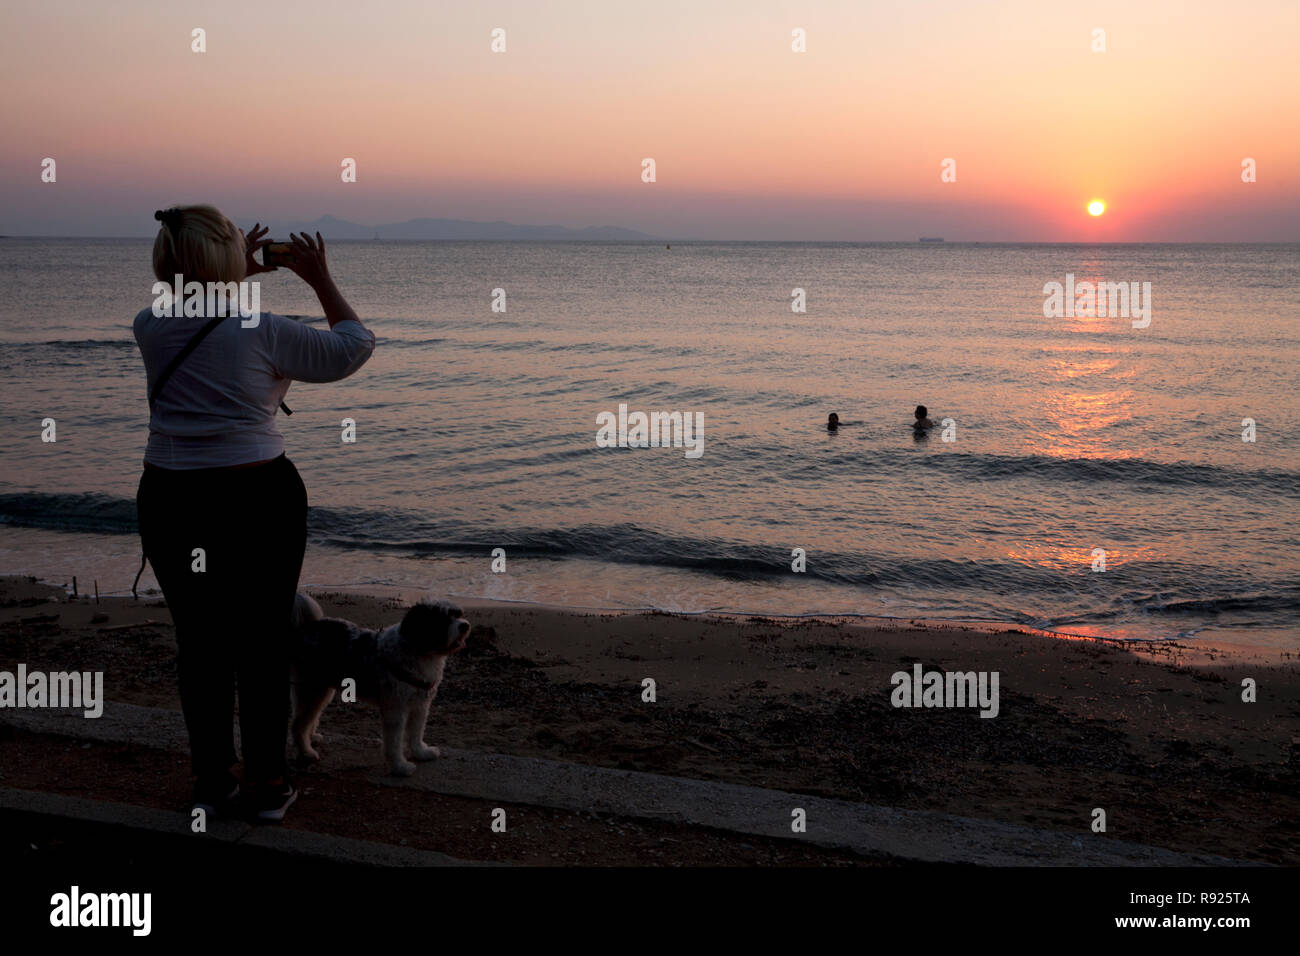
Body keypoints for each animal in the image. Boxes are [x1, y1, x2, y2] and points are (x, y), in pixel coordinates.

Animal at [287, 590, 470, 780]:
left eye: (457, 614)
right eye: (442, 618)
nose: (465, 626)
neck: (419, 650)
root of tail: (305, 629)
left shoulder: (419, 705)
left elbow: (416, 732)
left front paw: (421, 753)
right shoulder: (396, 709)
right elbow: (394, 742)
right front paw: (400, 767)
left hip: (319, 690)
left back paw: (311, 737)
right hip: (313, 689)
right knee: (298, 724)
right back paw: (306, 752)